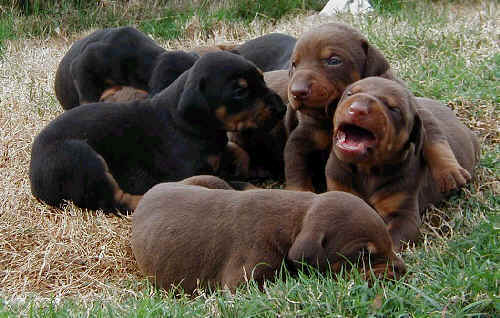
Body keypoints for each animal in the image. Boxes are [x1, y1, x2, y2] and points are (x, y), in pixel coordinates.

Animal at [31, 51, 286, 212]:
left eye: (262, 78)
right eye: (240, 92)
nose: (282, 108)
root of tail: (35, 181)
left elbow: (237, 152)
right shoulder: (192, 172)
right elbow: (234, 183)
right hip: (79, 156)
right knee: (115, 201)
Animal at [284, 22, 470, 194]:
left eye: (334, 61)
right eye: (294, 64)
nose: (296, 92)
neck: (330, 115)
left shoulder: (418, 111)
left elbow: (435, 139)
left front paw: (449, 171)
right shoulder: (303, 137)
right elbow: (295, 168)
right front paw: (299, 193)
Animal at [326, 77, 478, 251]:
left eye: (394, 109)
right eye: (349, 94)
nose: (358, 109)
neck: (366, 170)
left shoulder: (404, 213)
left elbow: (392, 237)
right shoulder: (338, 184)